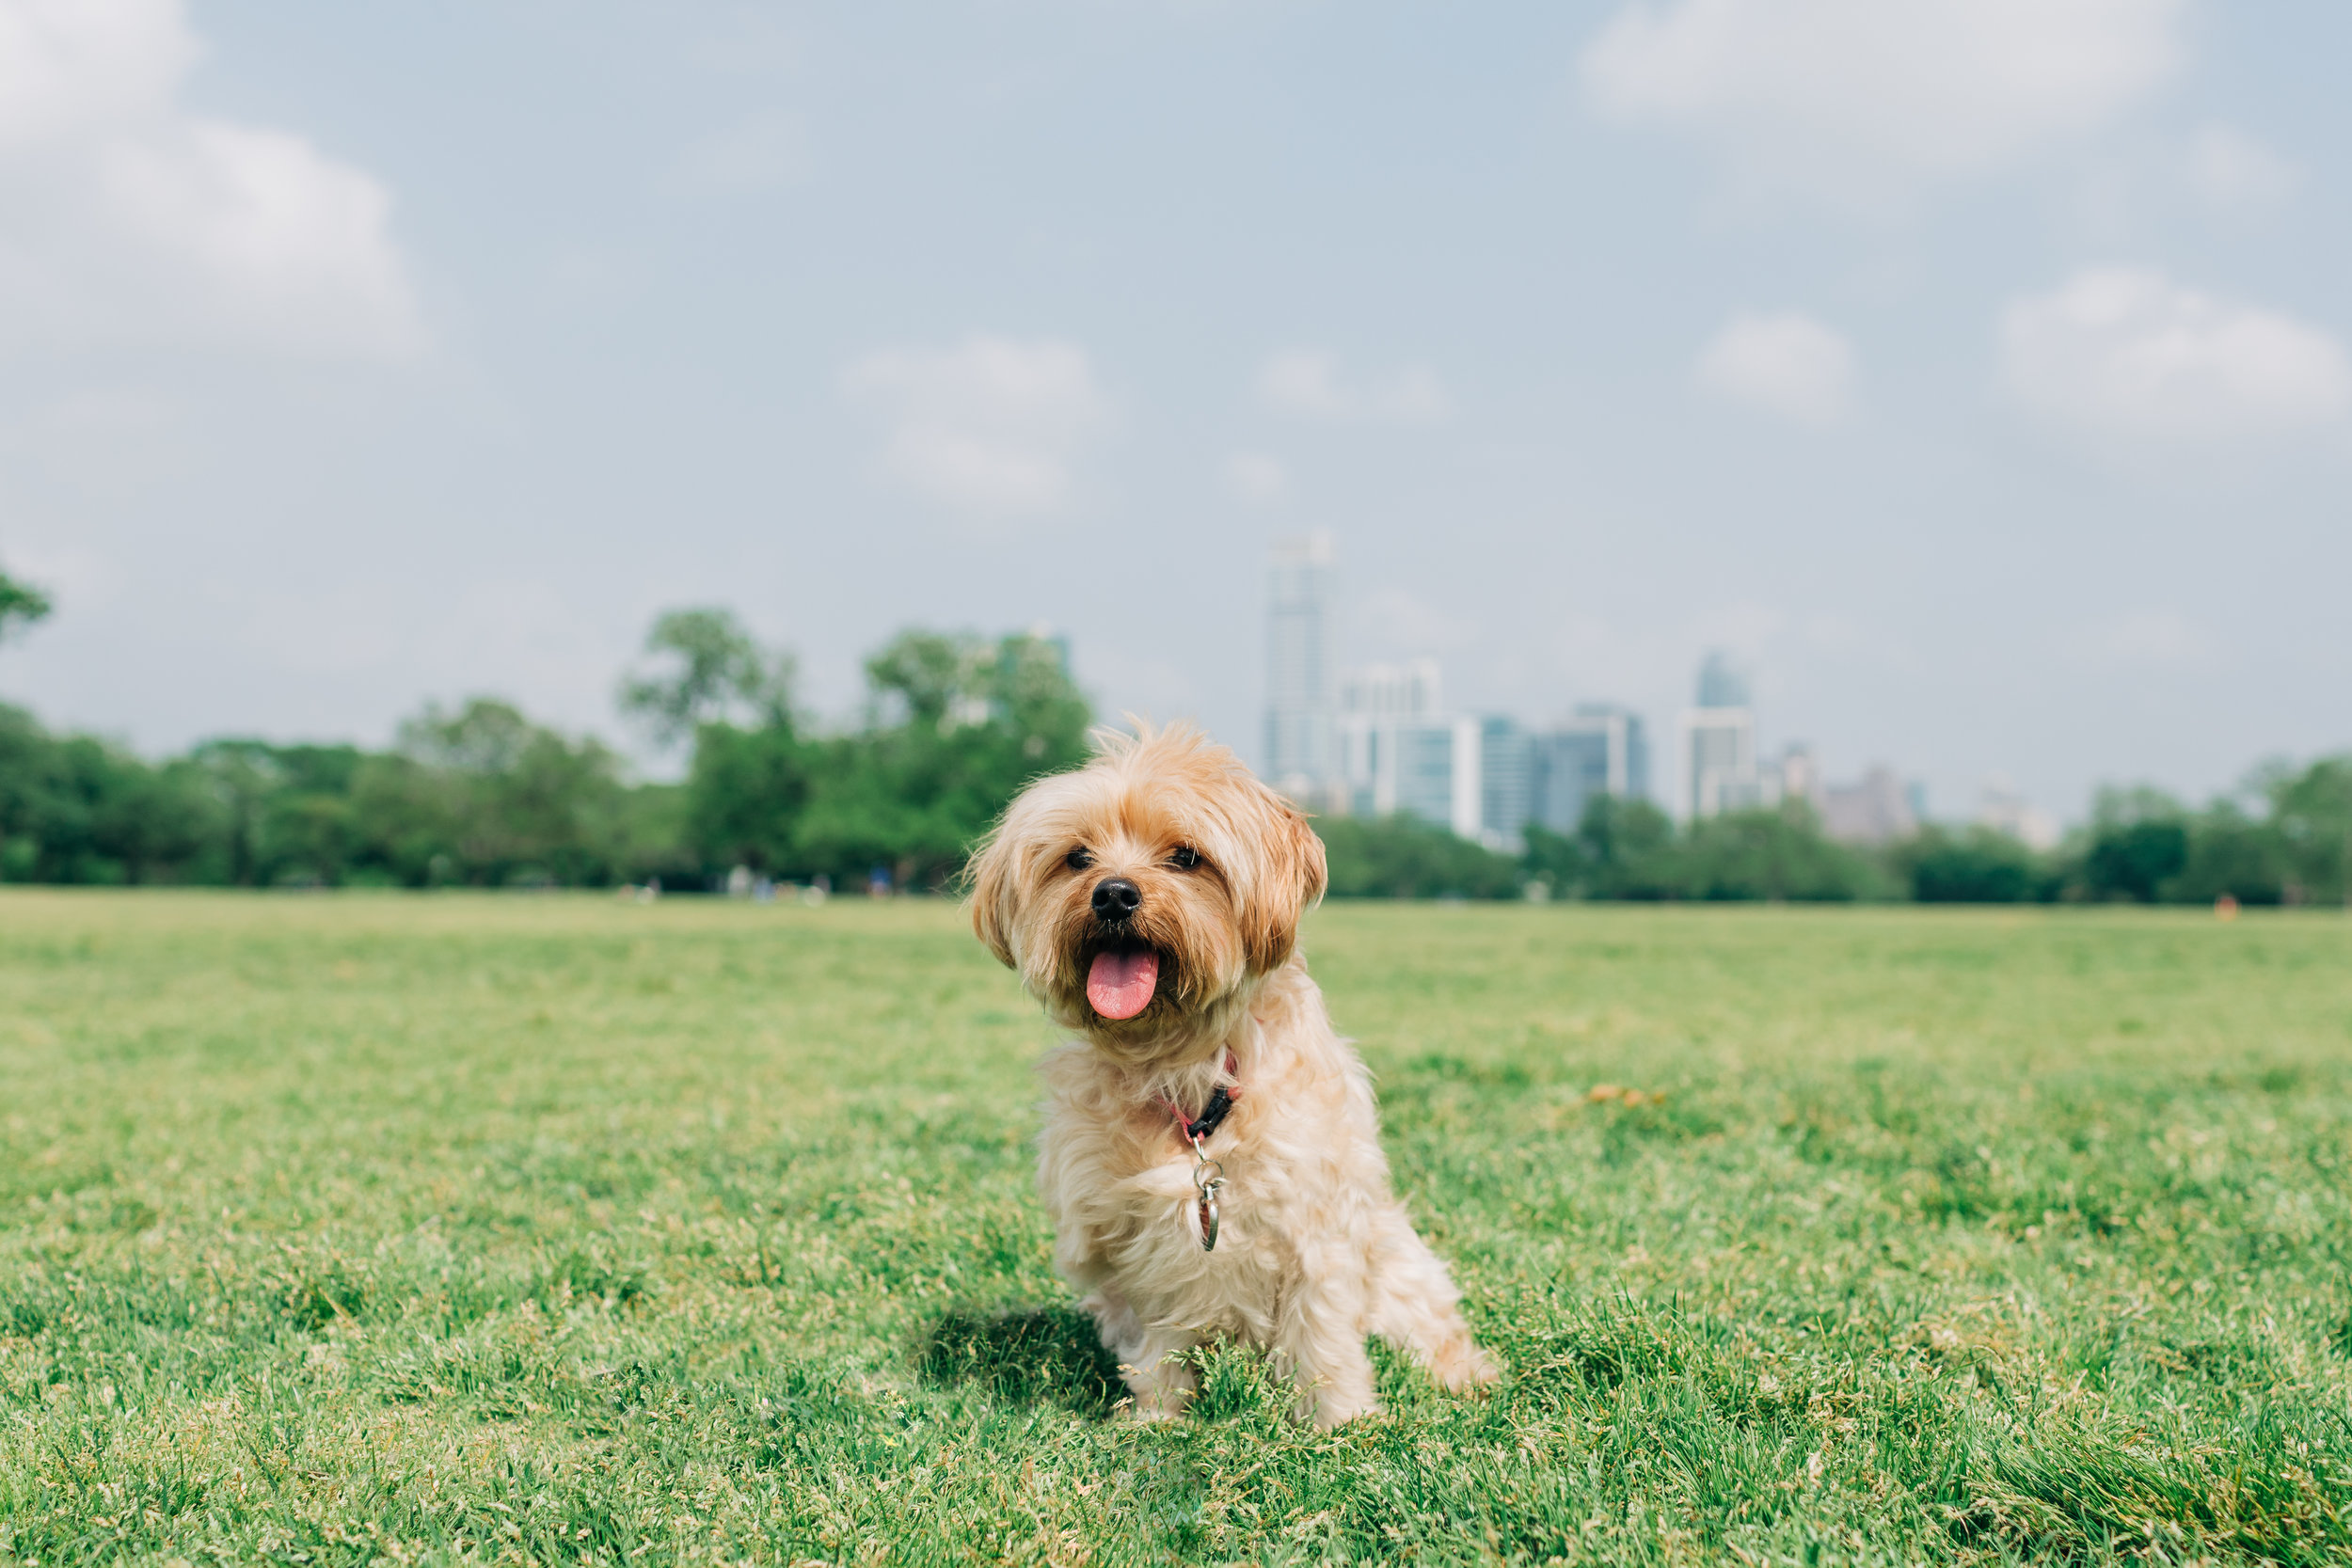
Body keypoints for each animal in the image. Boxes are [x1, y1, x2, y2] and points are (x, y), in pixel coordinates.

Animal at [964, 723, 1496, 1419]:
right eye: (1077, 858)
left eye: (1187, 857)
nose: (1113, 893)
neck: (1182, 1067)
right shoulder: (1132, 1244)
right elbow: (1157, 1337)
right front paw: (1158, 1419)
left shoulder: (1316, 1223)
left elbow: (1322, 1334)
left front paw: (1341, 1422)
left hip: (1402, 1270)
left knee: (1431, 1325)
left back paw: (1464, 1376)